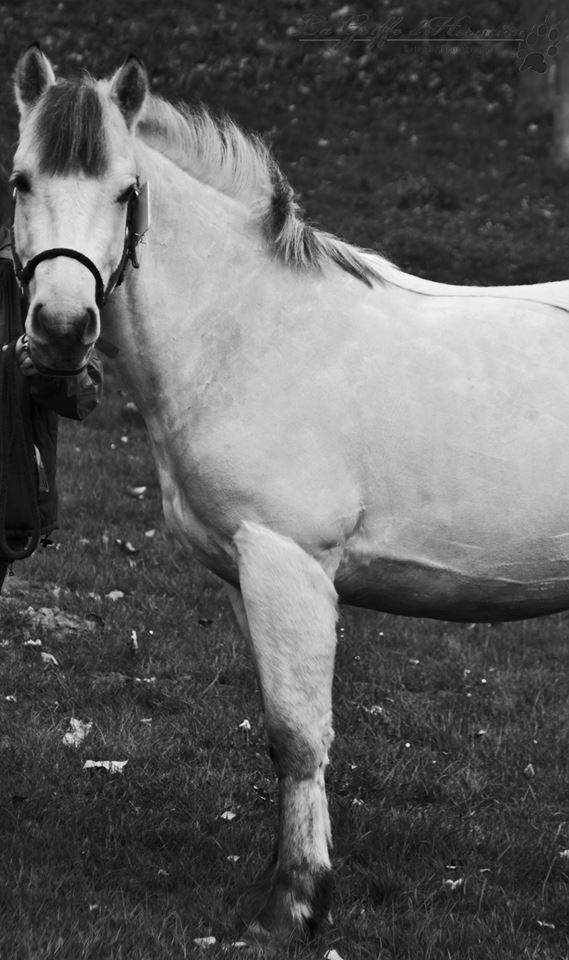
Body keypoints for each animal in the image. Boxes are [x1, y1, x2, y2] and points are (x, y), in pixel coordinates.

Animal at [12, 44, 569, 942]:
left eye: (127, 191)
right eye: (22, 180)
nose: (62, 332)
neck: (245, 332)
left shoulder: (288, 565)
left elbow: (300, 735)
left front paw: (296, 901)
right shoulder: (243, 573)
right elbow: (279, 736)